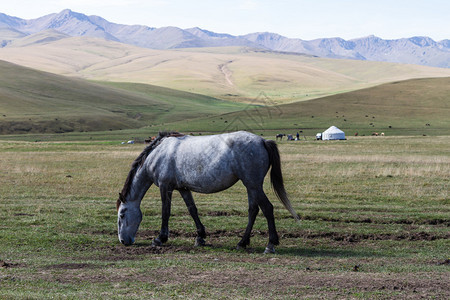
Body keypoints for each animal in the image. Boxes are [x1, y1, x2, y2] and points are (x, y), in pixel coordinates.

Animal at [117, 131, 298, 253]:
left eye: (122, 215)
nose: (123, 241)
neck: (157, 154)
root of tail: (262, 141)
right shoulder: (183, 188)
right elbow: (192, 210)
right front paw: (200, 237)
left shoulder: (165, 187)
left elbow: (165, 212)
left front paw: (160, 239)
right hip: (251, 186)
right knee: (253, 210)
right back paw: (242, 242)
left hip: (253, 185)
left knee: (267, 208)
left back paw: (270, 245)